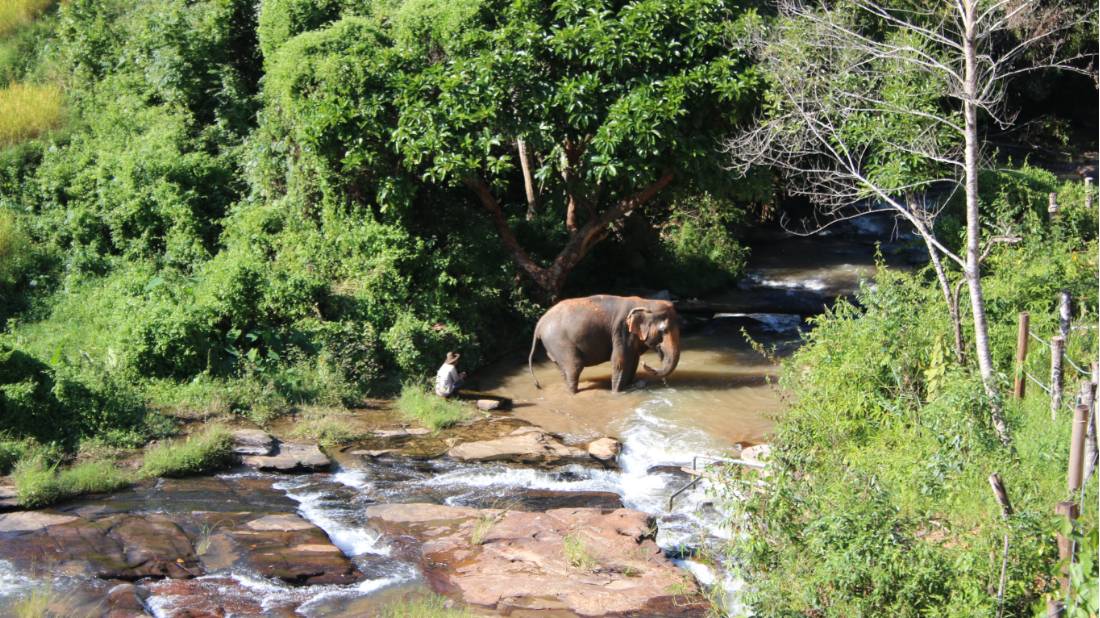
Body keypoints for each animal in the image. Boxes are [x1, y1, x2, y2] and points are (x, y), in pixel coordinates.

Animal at [530, 292, 682, 389]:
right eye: (663, 330)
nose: (646, 364)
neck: (645, 302)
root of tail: (539, 324)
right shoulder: (621, 330)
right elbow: (620, 361)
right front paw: (616, 393)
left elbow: (633, 361)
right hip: (559, 342)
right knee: (574, 366)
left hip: (553, 347)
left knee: (564, 370)